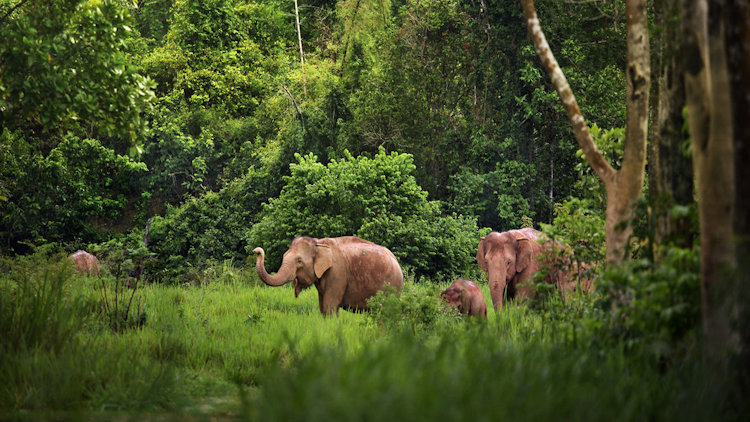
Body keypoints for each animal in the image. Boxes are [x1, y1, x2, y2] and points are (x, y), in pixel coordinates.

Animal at [253, 236, 406, 314]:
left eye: (299, 261)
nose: (256, 251)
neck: (319, 243)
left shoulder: (338, 273)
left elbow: (329, 306)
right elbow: (322, 307)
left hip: (392, 285)